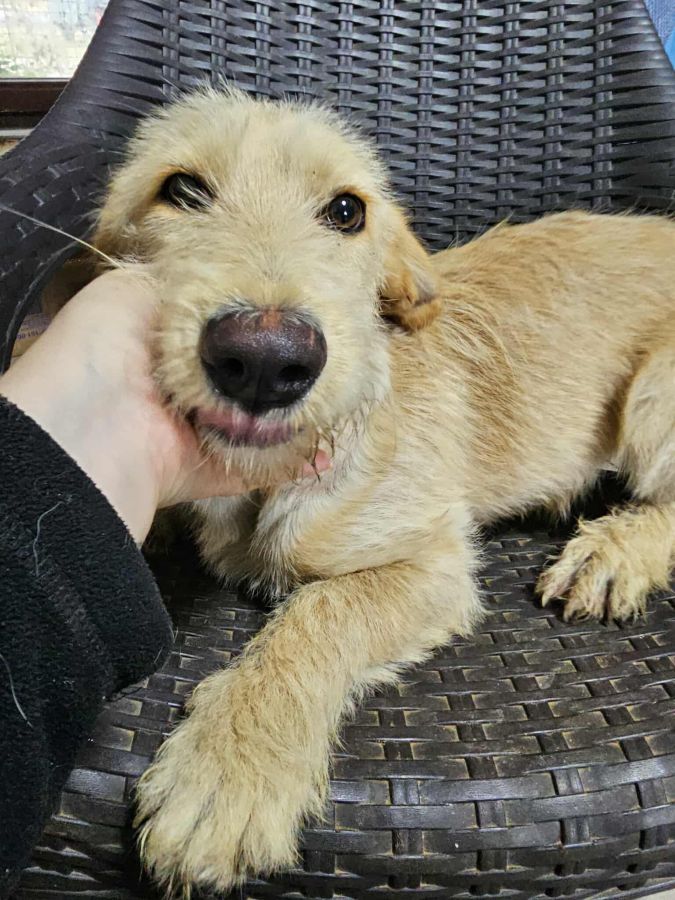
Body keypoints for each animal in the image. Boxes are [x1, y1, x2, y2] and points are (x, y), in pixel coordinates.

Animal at [58, 87, 675, 895]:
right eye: (182, 190)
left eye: (346, 211)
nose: (266, 359)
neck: (267, 483)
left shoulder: (432, 564)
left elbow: (320, 613)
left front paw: (229, 767)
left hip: (654, 392)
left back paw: (613, 552)